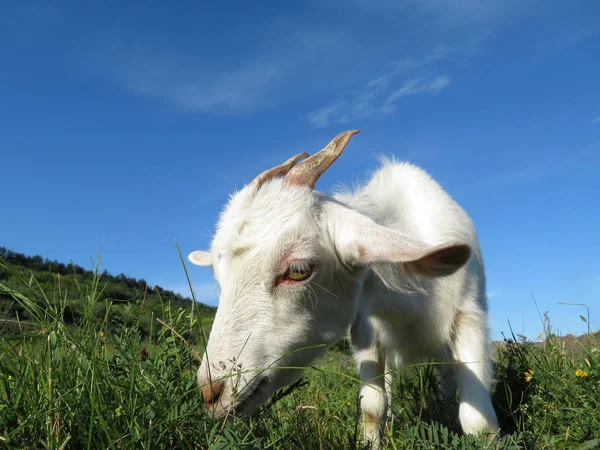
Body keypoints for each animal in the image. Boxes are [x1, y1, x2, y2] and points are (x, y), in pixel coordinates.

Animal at [190, 130, 500, 446]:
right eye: (219, 278)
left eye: (298, 270)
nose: (211, 393)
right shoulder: (367, 327)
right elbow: (373, 407)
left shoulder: (468, 315)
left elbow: (478, 422)